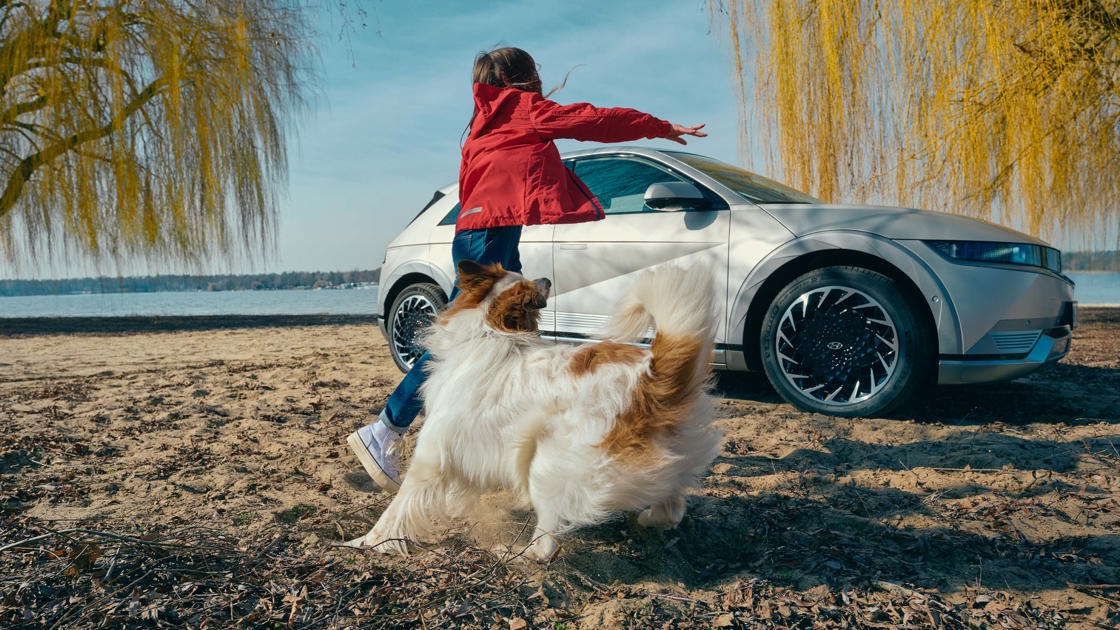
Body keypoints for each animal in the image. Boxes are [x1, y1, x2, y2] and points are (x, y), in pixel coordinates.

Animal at [344, 260, 721, 558]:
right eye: (520, 275)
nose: (547, 279)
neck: (488, 330)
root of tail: (652, 377)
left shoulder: (431, 455)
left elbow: (396, 509)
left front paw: (366, 542)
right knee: (672, 507)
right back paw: (646, 519)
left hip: (549, 464)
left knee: (546, 546)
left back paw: (513, 553)